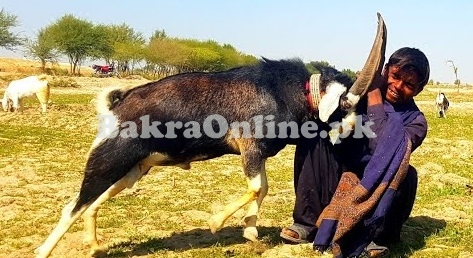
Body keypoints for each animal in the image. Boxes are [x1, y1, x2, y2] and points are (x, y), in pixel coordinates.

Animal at [35, 13, 386, 256]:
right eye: (344, 105)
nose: (348, 135)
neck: (286, 91)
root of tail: (118, 105)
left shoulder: (257, 153)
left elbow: (262, 188)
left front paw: (251, 235)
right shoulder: (250, 145)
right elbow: (257, 187)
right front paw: (218, 223)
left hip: (133, 169)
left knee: (94, 201)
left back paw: (94, 244)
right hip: (108, 158)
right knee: (74, 205)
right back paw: (44, 250)